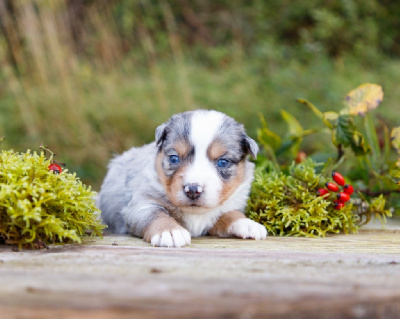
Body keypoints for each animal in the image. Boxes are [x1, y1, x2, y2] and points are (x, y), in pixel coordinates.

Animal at [97, 110, 268, 248]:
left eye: (223, 162)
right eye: (174, 158)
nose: (192, 190)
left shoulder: (227, 206)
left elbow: (230, 213)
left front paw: (247, 223)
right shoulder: (141, 204)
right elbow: (156, 214)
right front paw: (169, 231)